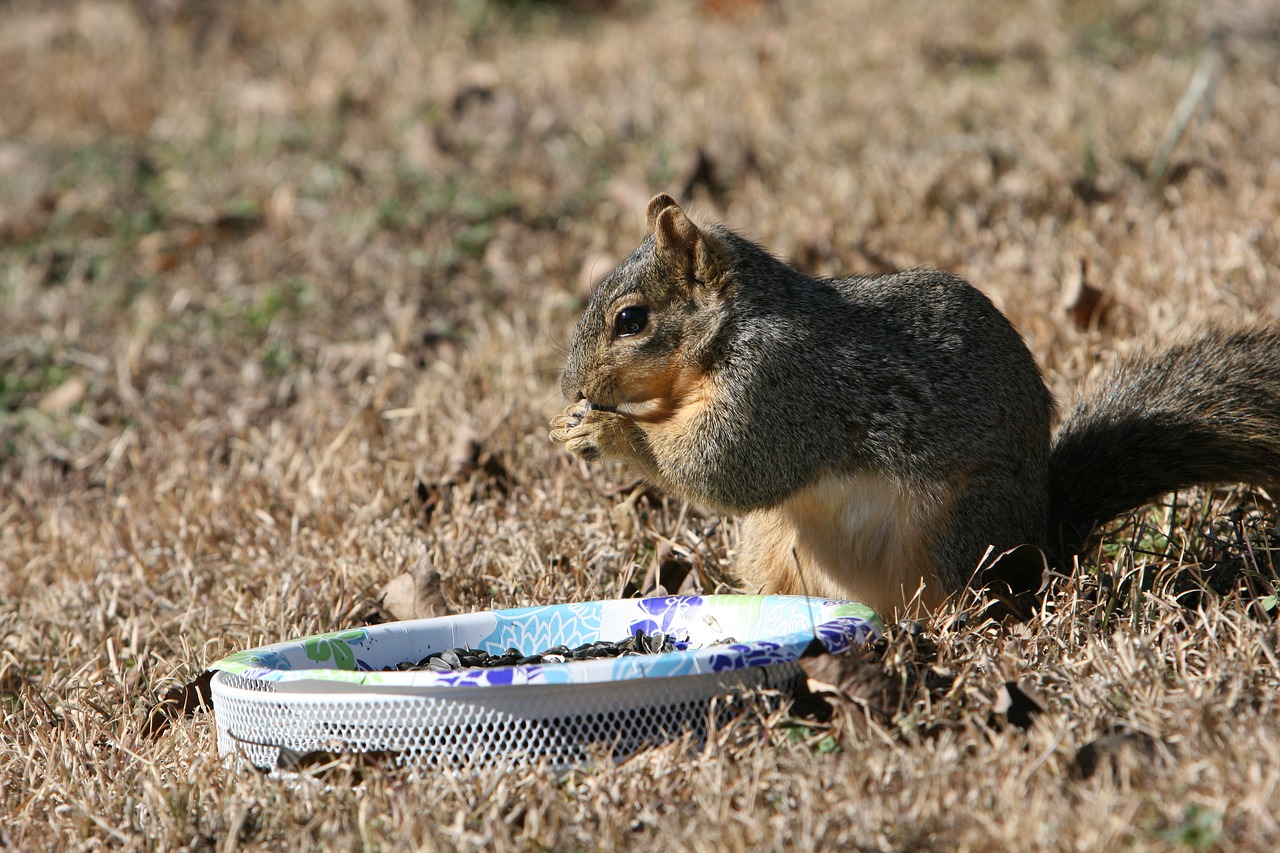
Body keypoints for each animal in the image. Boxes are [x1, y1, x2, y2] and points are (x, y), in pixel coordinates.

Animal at [547, 192, 1280, 612]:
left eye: (631, 320)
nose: (571, 388)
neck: (727, 335)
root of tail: (1044, 541)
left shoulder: (783, 386)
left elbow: (727, 466)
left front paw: (611, 433)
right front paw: (571, 424)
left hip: (957, 536)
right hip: (771, 544)